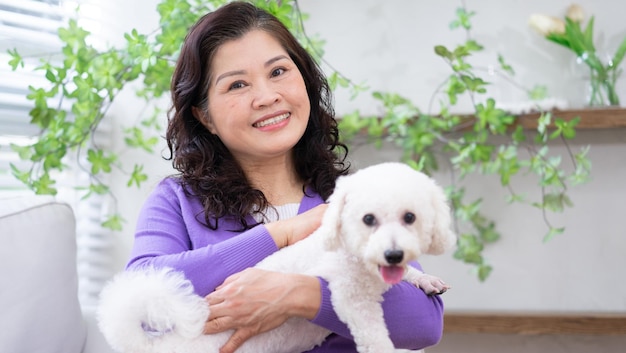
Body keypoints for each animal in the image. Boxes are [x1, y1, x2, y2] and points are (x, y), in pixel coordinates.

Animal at [100, 162, 456, 352]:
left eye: (409, 217)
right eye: (368, 219)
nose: (393, 253)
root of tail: (158, 344)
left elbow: (411, 274)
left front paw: (425, 279)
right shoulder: (351, 299)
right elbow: (374, 335)